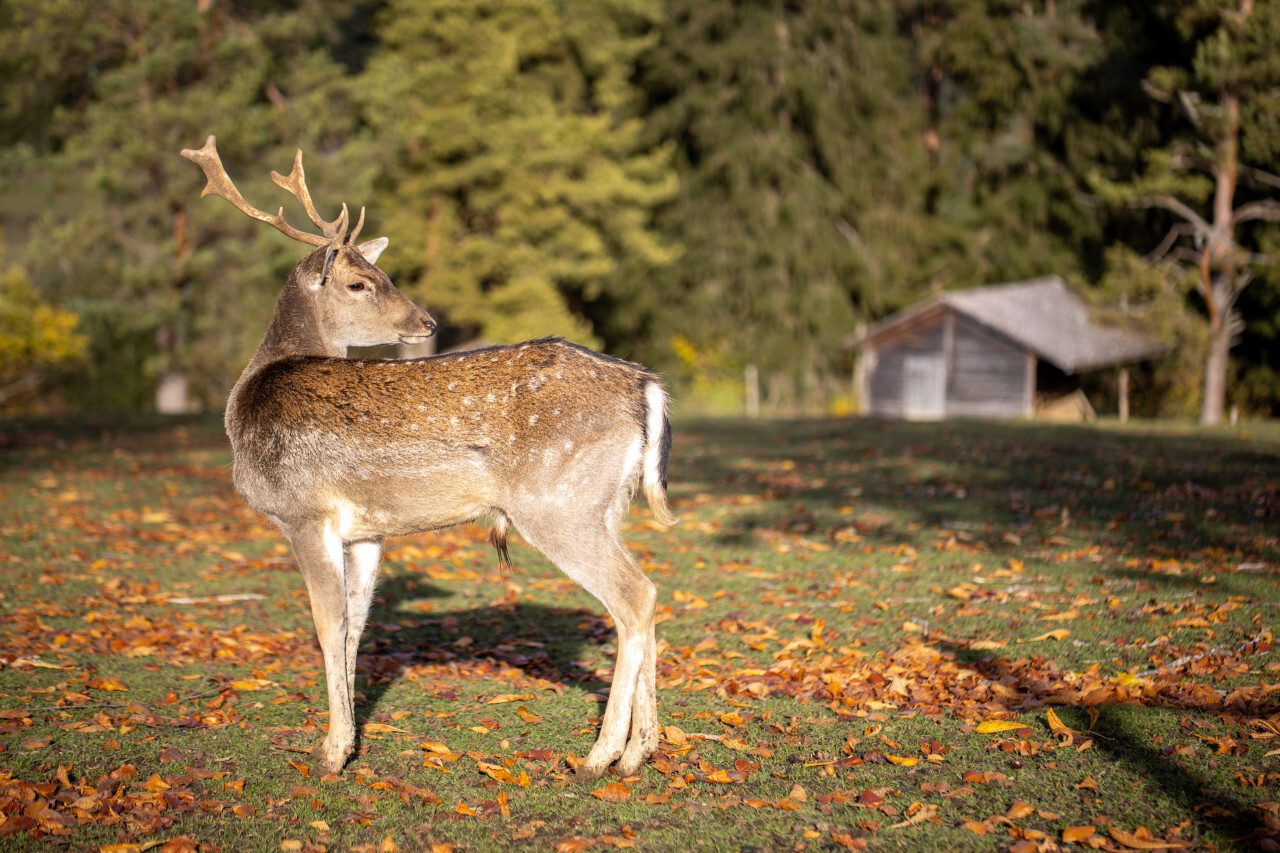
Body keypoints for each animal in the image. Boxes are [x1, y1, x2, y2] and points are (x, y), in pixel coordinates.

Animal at [185, 133, 680, 778]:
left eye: (379, 274)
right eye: (360, 282)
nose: (427, 320)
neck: (250, 395)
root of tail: (647, 387)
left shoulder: (303, 512)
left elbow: (326, 625)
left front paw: (331, 752)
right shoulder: (366, 531)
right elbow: (355, 627)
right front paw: (349, 740)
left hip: (556, 503)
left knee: (635, 596)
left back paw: (601, 755)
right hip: (607, 504)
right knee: (639, 601)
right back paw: (641, 749)